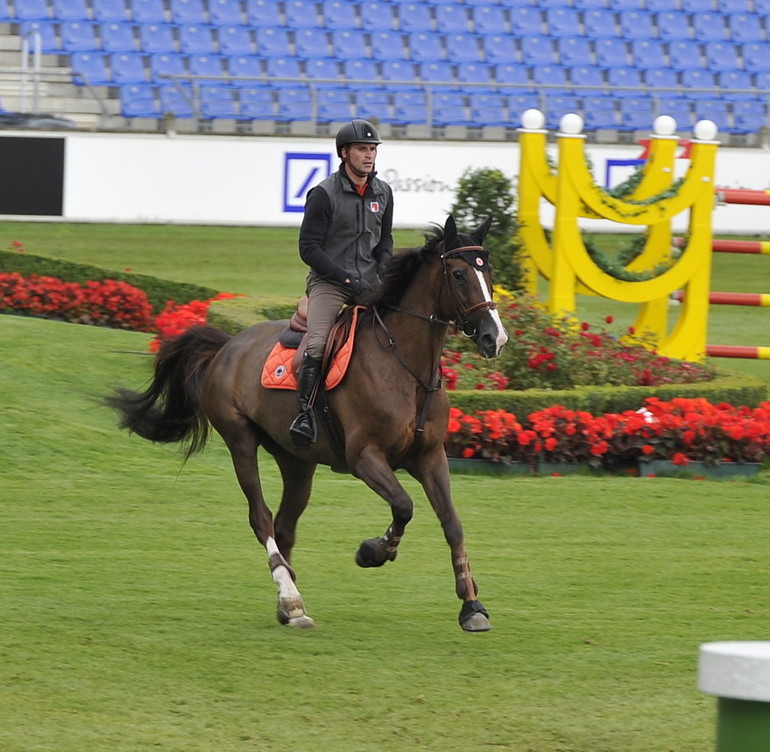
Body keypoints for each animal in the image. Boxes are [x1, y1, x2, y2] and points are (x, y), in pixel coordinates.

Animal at [106, 214, 504, 632]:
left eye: (489, 271)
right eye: (458, 274)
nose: (495, 338)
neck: (405, 367)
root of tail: (228, 345)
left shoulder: (430, 457)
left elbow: (451, 522)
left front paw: (472, 606)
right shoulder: (365, 457)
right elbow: (404, 505)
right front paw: (373, 551)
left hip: (297, 461)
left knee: (284, 524)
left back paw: (288, 603)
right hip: (240, 440)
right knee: (262, 519)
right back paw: (291, 599)